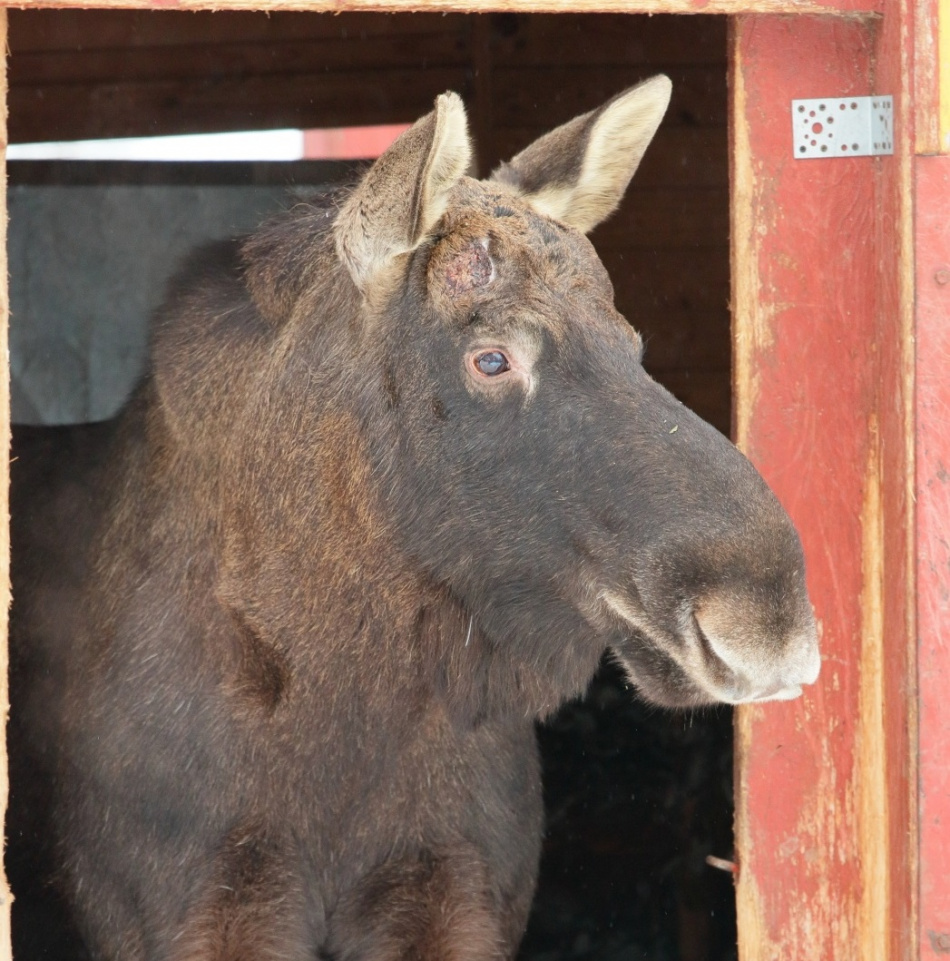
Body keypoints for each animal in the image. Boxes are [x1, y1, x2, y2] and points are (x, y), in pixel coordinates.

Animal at [7, 79, 820, 960]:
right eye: (491, 357)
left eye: (632, 341)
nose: (770, 614)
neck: (345, 702)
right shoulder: (187, 906)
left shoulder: (457, 890)